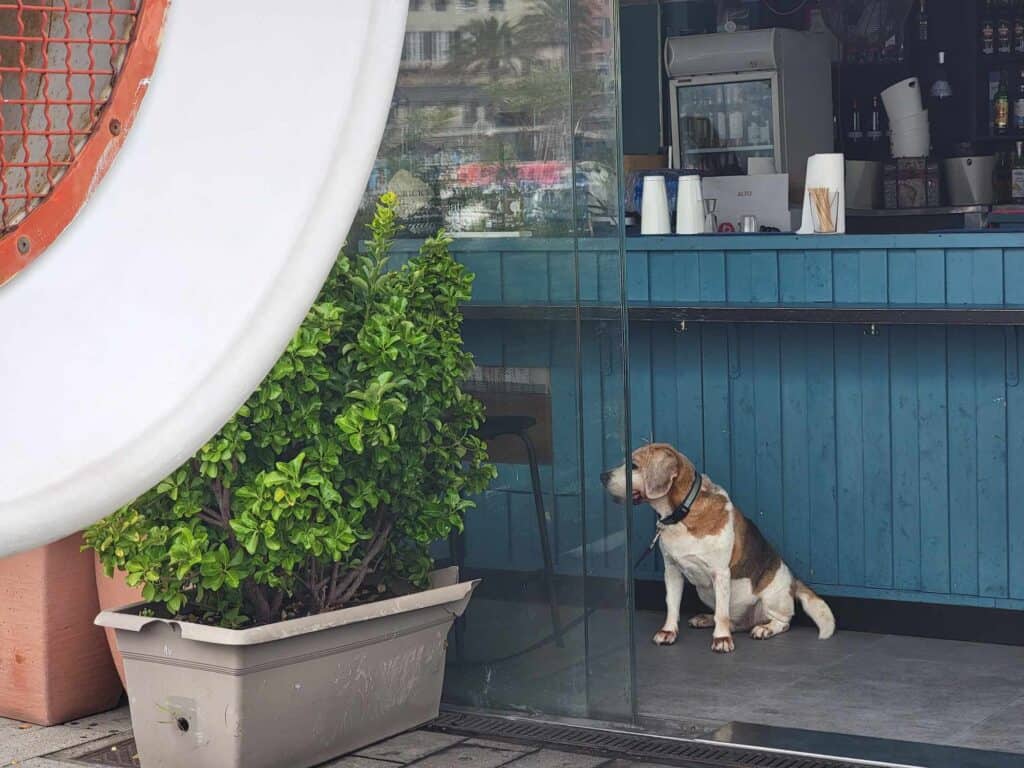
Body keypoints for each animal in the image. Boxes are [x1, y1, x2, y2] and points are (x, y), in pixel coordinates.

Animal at [598, 444, 831, 655]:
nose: (602, 476)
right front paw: (669, 631)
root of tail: (794, 581)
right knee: (733, 621)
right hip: (705, 591)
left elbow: (722, 613)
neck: (682, 515)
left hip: (772, 597)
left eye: (634, 466)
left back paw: (764, 629)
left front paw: (721, 639)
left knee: (782, 622)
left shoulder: (720, 573)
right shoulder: (672, 570)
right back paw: (707, 619)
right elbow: (672, 604)